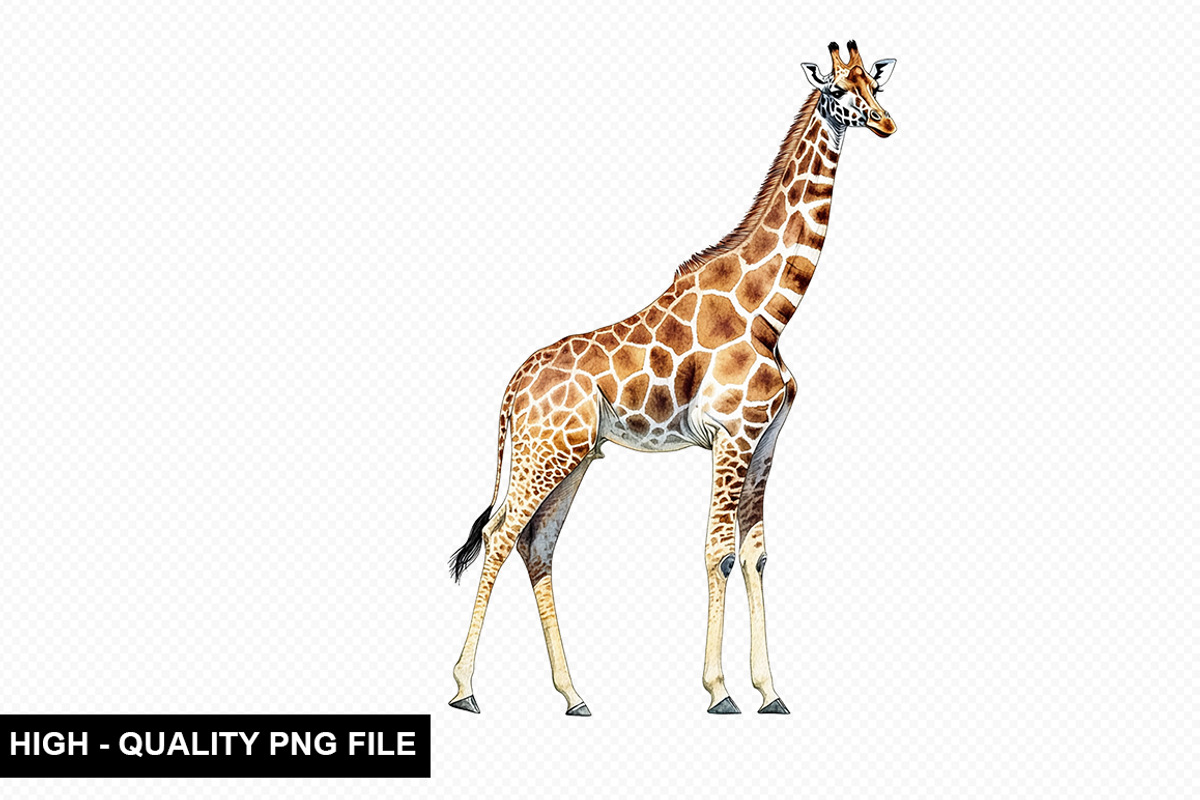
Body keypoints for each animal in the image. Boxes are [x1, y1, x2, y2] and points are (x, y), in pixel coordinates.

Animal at [449, 41, 898, 716]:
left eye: (874, 82)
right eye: (838, 91)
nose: (887, 122)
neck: (770, 312)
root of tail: (509, 391)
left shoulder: (766, 441)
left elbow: (757, 555)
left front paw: (770, 691)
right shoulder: (732, 436)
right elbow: (720, 554)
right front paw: (720, 692)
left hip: (570, 458)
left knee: (538, 544)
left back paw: (572, 694)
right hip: (543, 455)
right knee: (502, 535)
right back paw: (464, 688)